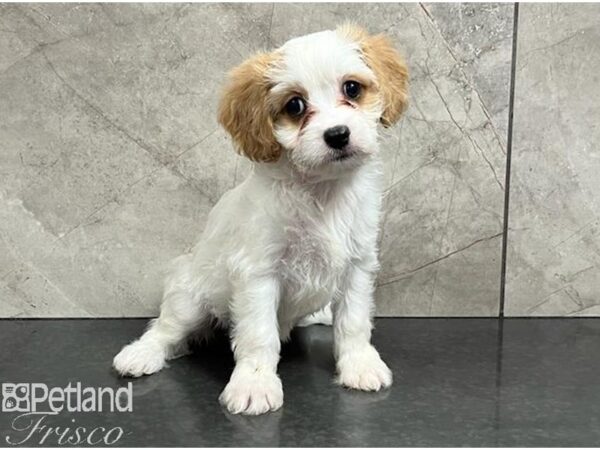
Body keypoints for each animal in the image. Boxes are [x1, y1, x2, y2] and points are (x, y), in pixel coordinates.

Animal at [113, 23, 408, 414]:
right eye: (295, 105)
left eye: (352, 89)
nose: (337, 134)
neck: (321, 190)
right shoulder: (258, 273)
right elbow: (258, 334)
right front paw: (254, 382)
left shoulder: (357, 267)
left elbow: (354, 322)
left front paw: (359, 364)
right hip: (188, 297)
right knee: (165, 329)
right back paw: (142, 354)